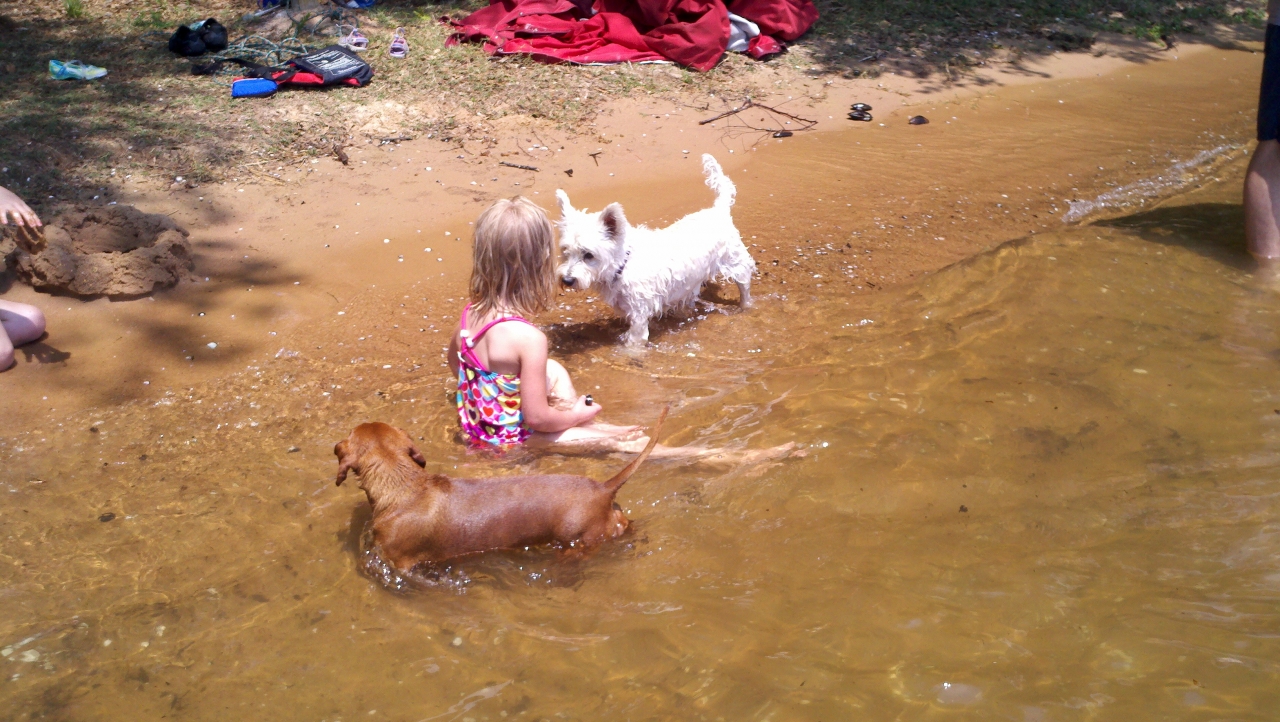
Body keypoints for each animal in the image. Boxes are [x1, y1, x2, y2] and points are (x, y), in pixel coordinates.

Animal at [555, 153, 752, 348]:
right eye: (565, 251)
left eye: (588, 255)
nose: (567, 280)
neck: (623, 265)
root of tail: (719, 211)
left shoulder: (639, 316)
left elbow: (633, 343)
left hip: (736, 263)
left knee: (744, 287)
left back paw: (745, 306)